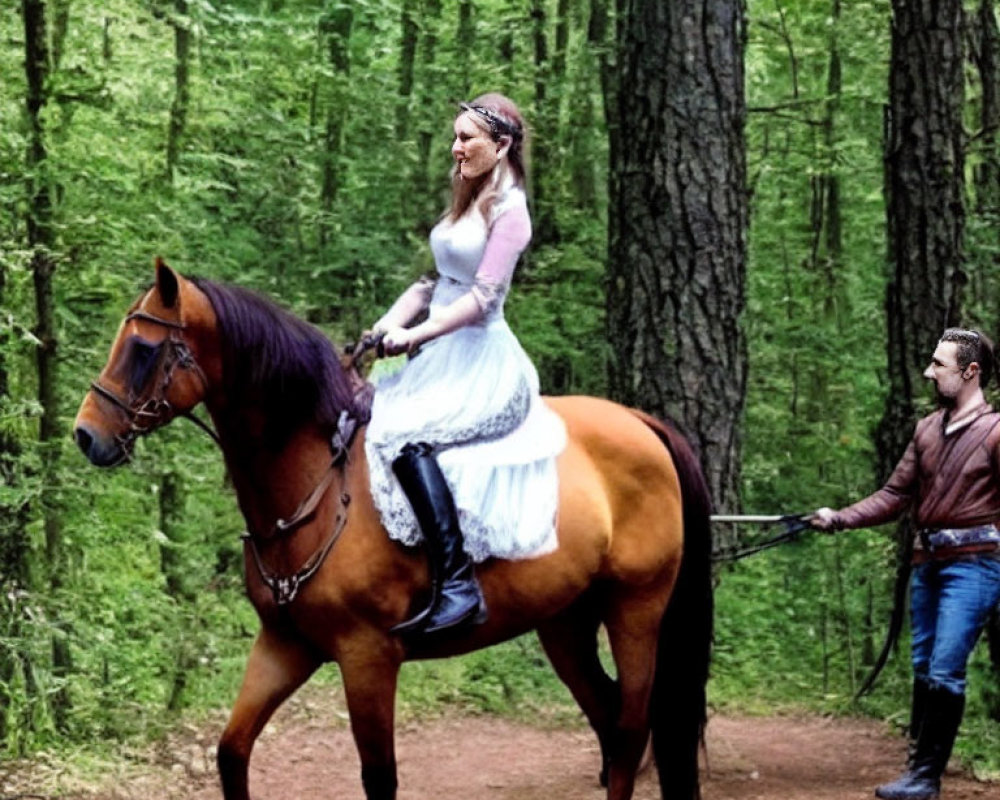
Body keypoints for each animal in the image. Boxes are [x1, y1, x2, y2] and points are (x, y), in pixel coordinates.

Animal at [72, 260, 712, 796]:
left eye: (144, 350)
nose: (85, 435)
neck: (319, 484)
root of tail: (641, 422)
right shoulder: (286, 644)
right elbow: (232, 752)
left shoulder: (368, 656)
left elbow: (379, 778)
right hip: (566, 622)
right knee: (609, 722)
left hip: (636, 609)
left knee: (630, 731)